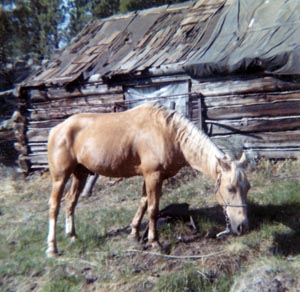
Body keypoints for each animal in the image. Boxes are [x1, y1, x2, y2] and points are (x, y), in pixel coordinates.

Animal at [45, 102, 250, 256]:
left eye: (247, 187)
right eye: (230, 188)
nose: (243, 226)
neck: (169, 133)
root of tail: (57, 129)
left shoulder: (150, 177)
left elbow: (143, 203)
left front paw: (134, 233)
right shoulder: (153, 176)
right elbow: (153, 208)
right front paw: (154, 242)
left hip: (80, 174)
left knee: (71, 202)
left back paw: (72, 235)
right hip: (60, 177)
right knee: (54, 206)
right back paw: (52, 248)